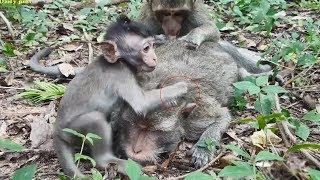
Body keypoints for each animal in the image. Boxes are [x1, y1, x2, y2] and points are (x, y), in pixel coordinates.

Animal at [52, 16, 188, 178]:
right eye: (146, 49)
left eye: (152, 46)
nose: (154, 58)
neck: (121, 61)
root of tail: (57, 131)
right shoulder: (121, 74)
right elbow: (141, 103)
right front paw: (180, 87)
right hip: (72, 131)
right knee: (96, 120)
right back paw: (109, 160)